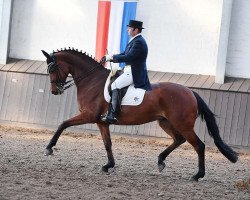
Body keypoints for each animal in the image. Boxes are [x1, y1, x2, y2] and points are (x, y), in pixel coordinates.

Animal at [41, 48, 238, 181]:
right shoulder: (102, 122)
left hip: (182, 124)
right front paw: (108, 165)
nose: (55, 91)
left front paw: (49, 148)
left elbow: (63, 124)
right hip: (165, 122)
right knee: (179, 140)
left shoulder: (89, 115)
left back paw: (197, 175)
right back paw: (160, 161)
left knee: (199, 145)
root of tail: (190, 92)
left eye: (53, 69)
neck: (92, 81)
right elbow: (107, 144)